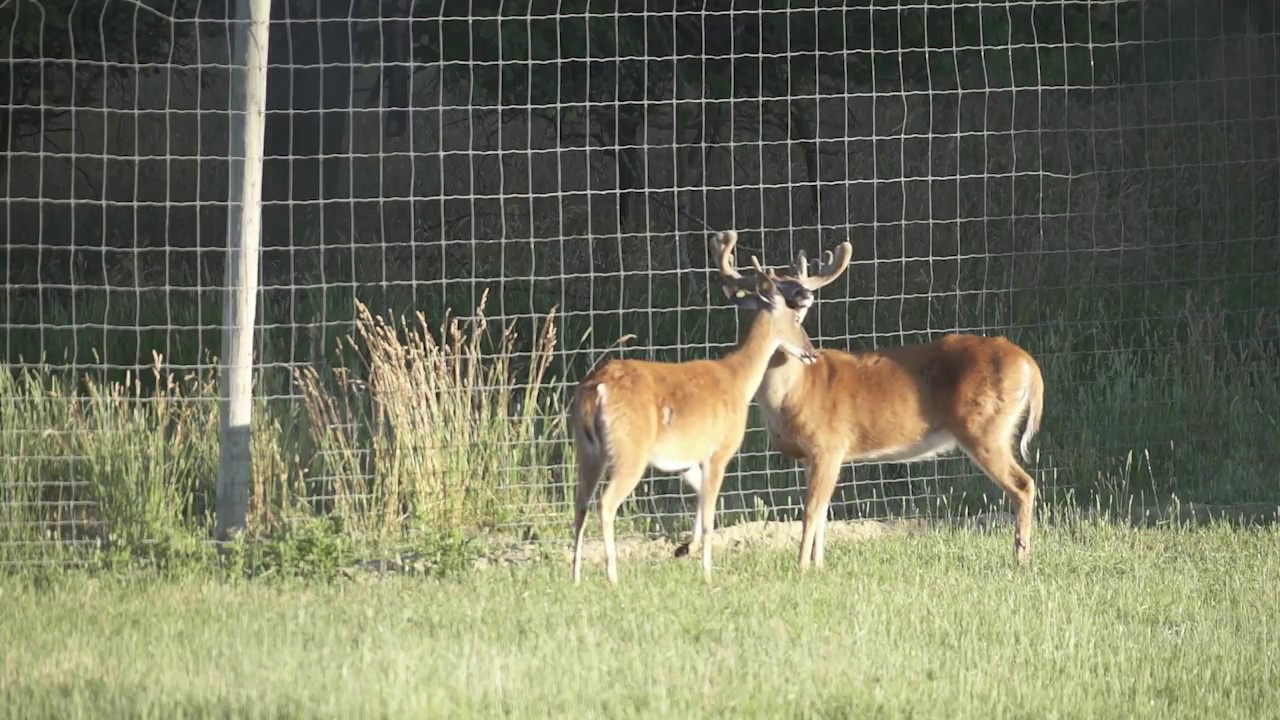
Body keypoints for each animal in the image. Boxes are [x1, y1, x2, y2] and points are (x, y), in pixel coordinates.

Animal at [570, 230, 820, 585]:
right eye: (795, 318)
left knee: (580, 503)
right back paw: (613, 577)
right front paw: (708, 572)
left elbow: (702, 502)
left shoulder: (688, 458)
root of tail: (597, 389)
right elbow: (710, 511)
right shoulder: (719, 450)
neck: (738, 380)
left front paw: (687, 550)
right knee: (604, 503)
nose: (811, 353)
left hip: (586, 448)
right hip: (629, 449)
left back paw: (576, 576)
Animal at [679, 235, 1045, 570]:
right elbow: (823, 513)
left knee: (1023, 485)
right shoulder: (811, 457)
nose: (805, 295)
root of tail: (1029, 364)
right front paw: (819, 566)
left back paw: (1021, 558)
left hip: (985, 426)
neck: (796, 390)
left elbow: (810, 511)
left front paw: (801, 567)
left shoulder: (829, 444)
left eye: (796, 294)